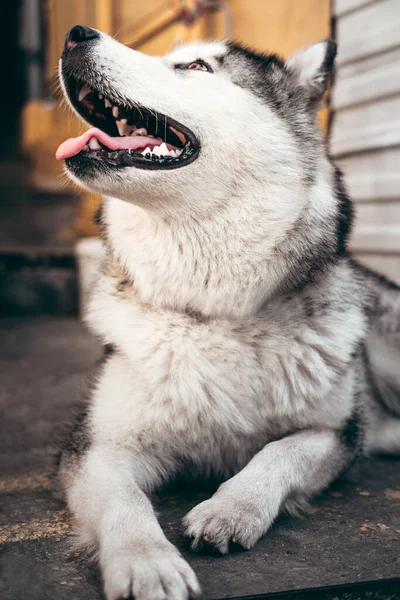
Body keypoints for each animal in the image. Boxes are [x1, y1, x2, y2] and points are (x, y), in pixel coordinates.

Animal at [56, 25, 400, 600]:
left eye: (195, 67)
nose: (75, 34)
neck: (213, 310)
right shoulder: (96, 447)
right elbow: (125, 503)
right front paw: (146, 562)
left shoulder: (337, 434)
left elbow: (281, 452)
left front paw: (232, 509)